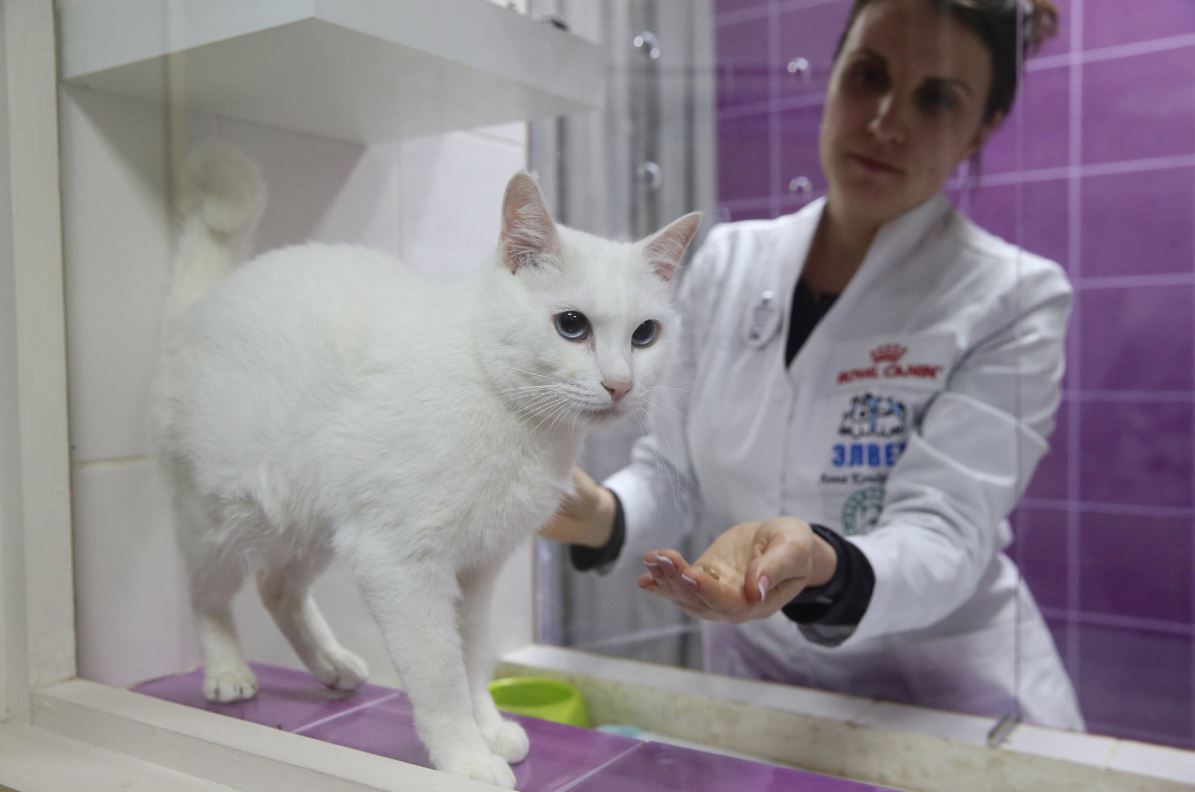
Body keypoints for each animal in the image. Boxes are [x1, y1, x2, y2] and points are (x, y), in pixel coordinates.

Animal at [149, 143, 697, 788]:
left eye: (645, 334)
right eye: (571, 325)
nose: (619, 385)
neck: (508, 411)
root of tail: (200, 307)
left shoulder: (479, 568)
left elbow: (474, 659)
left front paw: (489, 729)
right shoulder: (401, 564)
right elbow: (440, 677)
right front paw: (466, 759)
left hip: (310, 525)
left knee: (276, 589)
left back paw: (333, 666)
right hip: (219, 519)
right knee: (209, 596)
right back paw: (228, 672)